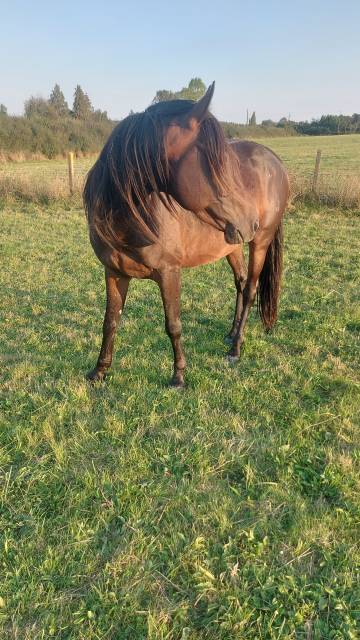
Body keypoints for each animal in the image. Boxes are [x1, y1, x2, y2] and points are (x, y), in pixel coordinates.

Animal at [83, 83, 288, 388]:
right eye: (217, 165)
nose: (251, 220)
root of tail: (275, 162)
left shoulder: (169, 272)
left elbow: (173, 324)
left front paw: (178, 375)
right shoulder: (114, 272)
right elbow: (110, 322)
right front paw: (99, 371)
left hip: (260, 242)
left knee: (251, 289)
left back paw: (235, 348)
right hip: (233, 244)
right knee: (240, 283)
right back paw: (231, 333)